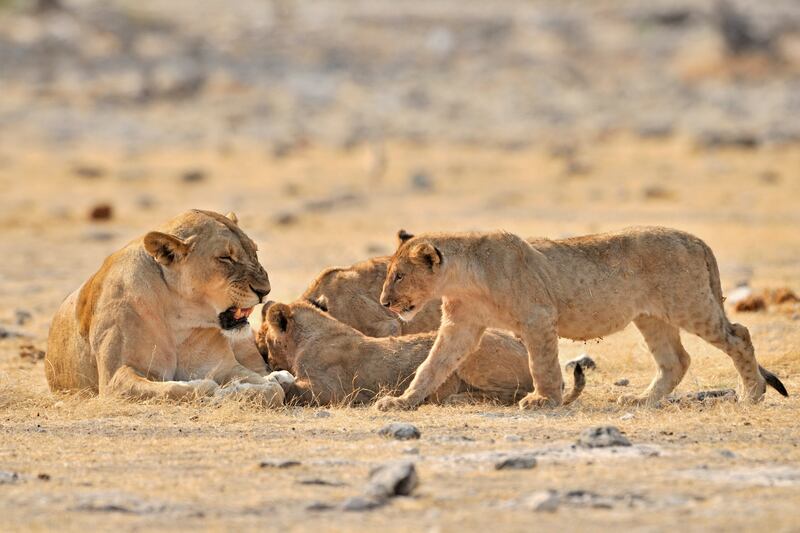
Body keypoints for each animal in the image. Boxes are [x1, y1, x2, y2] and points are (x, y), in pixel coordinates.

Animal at [45, 209, 284, 405]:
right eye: (225, 258)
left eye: (255, 251)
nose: (265, 290)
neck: (179, 319)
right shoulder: (113, 379)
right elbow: (173, 389)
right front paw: (212, 388)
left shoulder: (225, 366)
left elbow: (273, 391)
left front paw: (246, 388)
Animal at [255, 300, 585, 406]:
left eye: (261, 335)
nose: (259, 353)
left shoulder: (332, 391)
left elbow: (292, 390)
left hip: (474, 354)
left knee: (517, 392)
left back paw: (455, 398)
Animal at [375, 227, 788, 411]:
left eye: (400, 276)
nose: (384, 302)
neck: (464, 279)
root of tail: (696, 239)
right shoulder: (461, 327)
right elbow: (431, 366)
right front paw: (401, 402)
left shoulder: (539, 318)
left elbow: (541, 364)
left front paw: (543, 399)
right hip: (652, 318)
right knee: (676, 360)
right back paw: (640, 400)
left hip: (691, 305)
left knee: (739, 336)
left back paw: (752, 394)